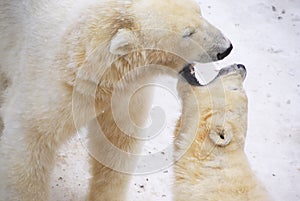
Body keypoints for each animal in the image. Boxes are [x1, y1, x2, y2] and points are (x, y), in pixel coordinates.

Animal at [0, 0, 232, 201]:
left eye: (199, 11)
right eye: (187, 33)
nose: (226, 48)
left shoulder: (126, 93)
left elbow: (116, 144)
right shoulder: (57, 85)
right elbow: (31, 139)